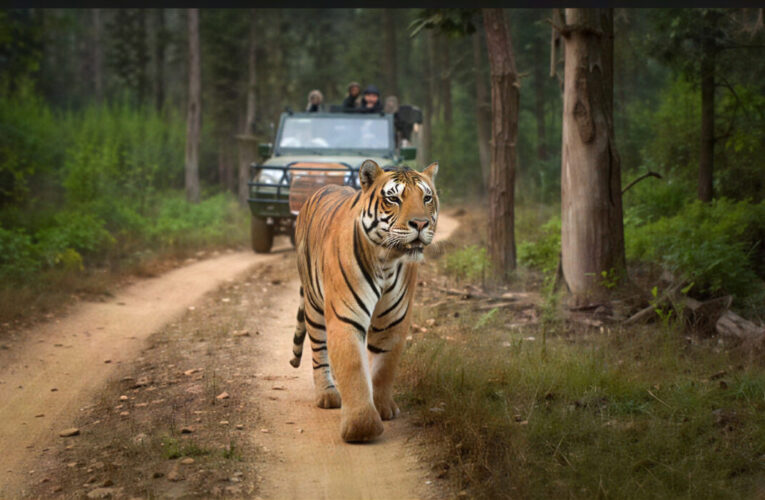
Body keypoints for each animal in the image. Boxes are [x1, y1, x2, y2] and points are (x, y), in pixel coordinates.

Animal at [289, 159, 439, 442]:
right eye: (393, 198)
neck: (387, 261)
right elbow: (353, 367)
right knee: (319, 350)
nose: (420, 224)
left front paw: (383, 407)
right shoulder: (345, 317)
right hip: (314, 305)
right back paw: (327, 394)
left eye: (426, 198)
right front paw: (362, 427)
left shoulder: (394, 321)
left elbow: (383, 367)